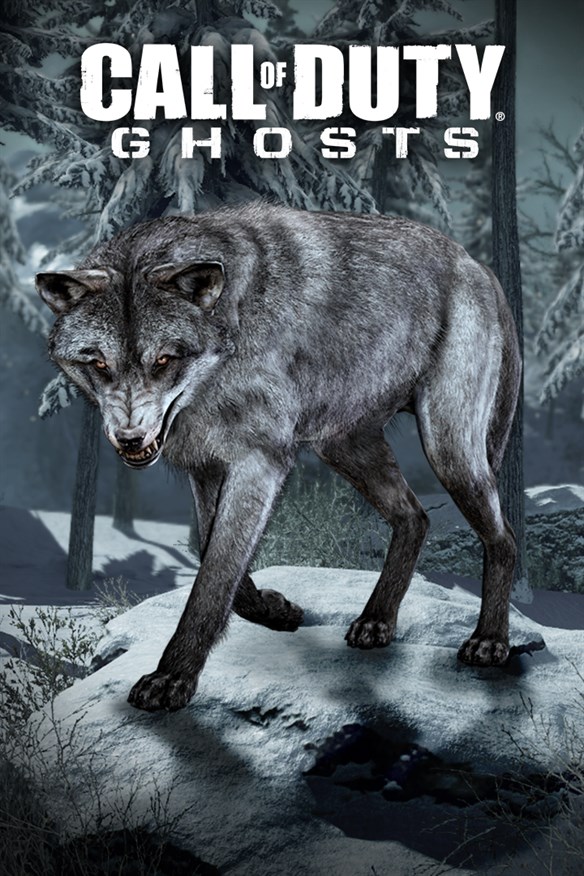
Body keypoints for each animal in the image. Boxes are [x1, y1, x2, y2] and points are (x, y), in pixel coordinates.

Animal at [36, 203, 521, 712]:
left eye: (165, 360)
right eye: (98, 363)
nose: (129, 439)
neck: (232, 330)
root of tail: (477, 265)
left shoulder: (260, 462)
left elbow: (215, 575)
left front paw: (172, 678)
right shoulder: (206, 466)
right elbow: (217, 558)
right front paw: (275, 611)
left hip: (448, 450)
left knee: (503, 537)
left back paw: (490, 641)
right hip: (344, 448)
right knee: (415, 517)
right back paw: (377, 621)